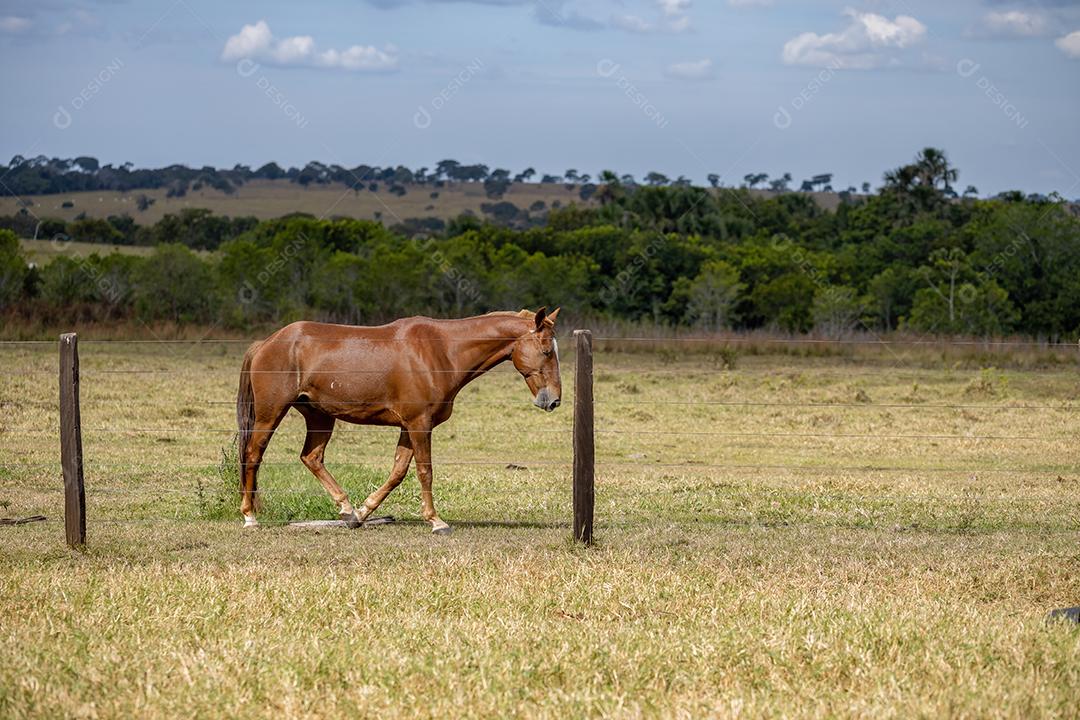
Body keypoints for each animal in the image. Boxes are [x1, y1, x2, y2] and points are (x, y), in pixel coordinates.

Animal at [238, 306, 565, 533]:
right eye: (546, 351)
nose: (553, 400)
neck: (441, 351)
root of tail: (266, 343)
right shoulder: (420, 425)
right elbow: (425, 472)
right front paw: (436, 521)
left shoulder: (409, 428)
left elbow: (398, 472)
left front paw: (363, 512)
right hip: (271, 414)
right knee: (253, 455)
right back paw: (250, 516)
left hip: (319, 417)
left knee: (311, 457)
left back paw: (346, 508)